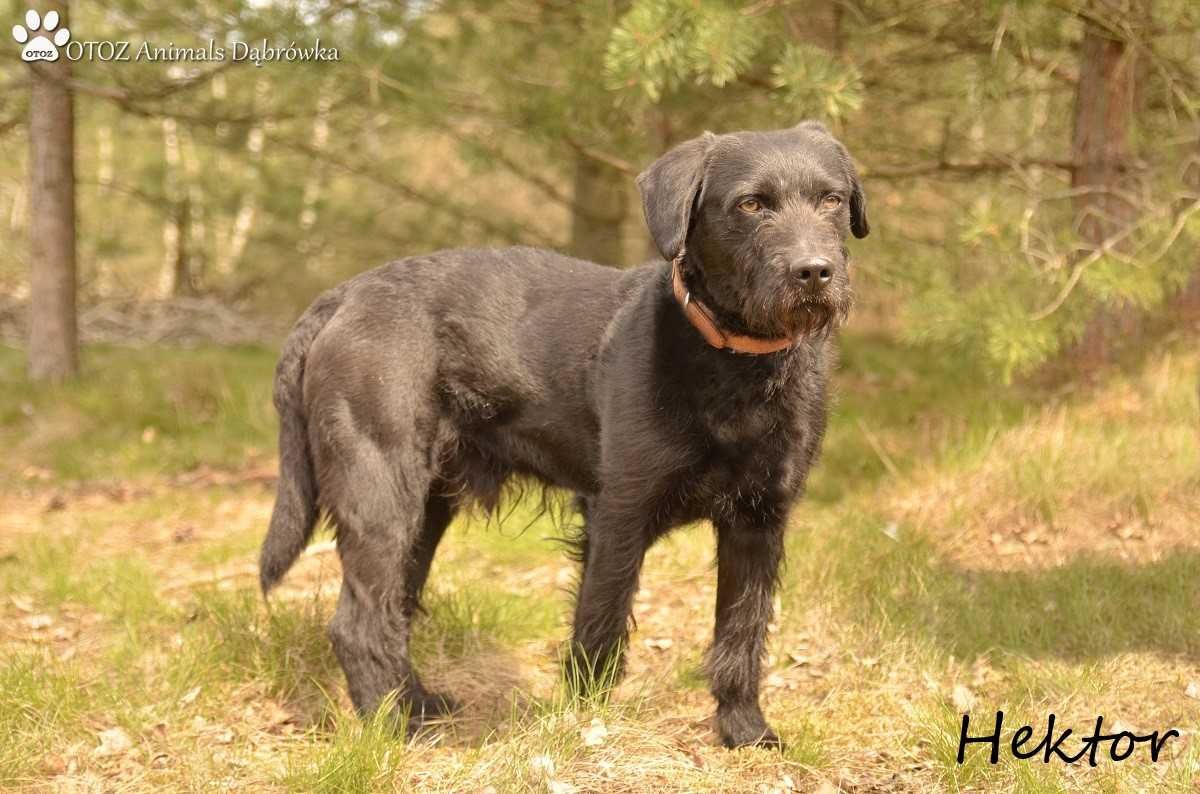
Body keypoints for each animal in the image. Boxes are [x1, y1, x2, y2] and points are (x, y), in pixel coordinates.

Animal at [262, 121, 868, 748]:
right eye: (750, 204)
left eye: (832, 199)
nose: (814, 271)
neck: (737, 365)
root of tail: (342, 296)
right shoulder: (619, 516)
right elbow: (600, 627)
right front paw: (588, 726)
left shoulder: (759, 521)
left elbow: (741, 633)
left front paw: (745, 730)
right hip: (379, 494)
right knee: (357, 623)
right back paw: (395, 727)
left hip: (424, 510)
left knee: (392, 611)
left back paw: (419, 706)